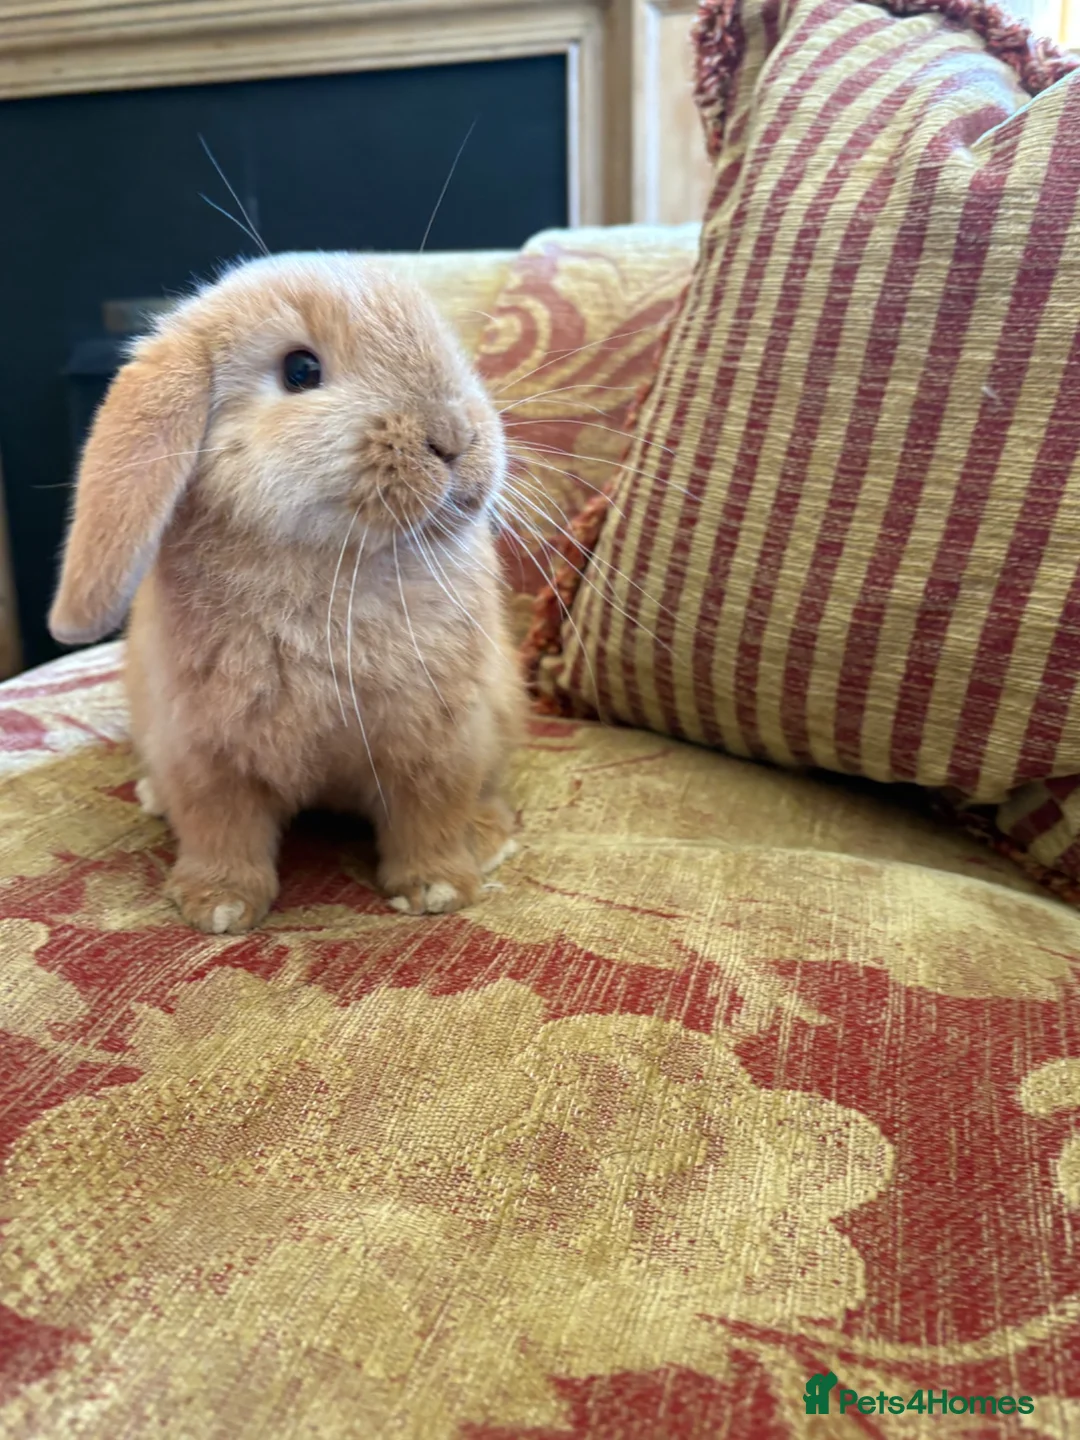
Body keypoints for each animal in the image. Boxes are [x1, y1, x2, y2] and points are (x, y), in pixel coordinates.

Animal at [48, 252, 524, 934]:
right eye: (301, 371)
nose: (455, 437)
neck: (332, 569)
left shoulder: (438, 744)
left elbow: (429, 817)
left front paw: (436, 892)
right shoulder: (205, 753)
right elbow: (221, 829)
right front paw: (218, 908)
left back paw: (488, 839)